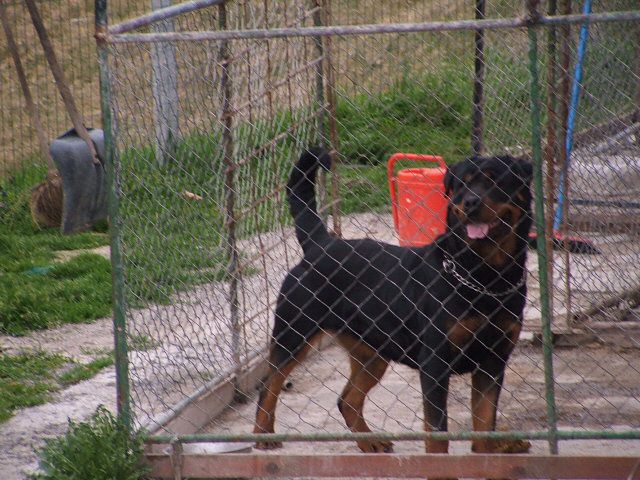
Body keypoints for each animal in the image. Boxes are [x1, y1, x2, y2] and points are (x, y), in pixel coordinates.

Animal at [252, 148, 532, 456]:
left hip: (371, 353)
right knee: (270, 384)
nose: (470, 201)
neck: (485, 276)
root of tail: (320, 243)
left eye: (495, 181)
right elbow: (438, 430)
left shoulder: (493, 363)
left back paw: (369, 442)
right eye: (462, 186)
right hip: (294, 333)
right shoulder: (435, 364)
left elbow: (485, 426)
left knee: (347, 399)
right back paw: (263, 435)